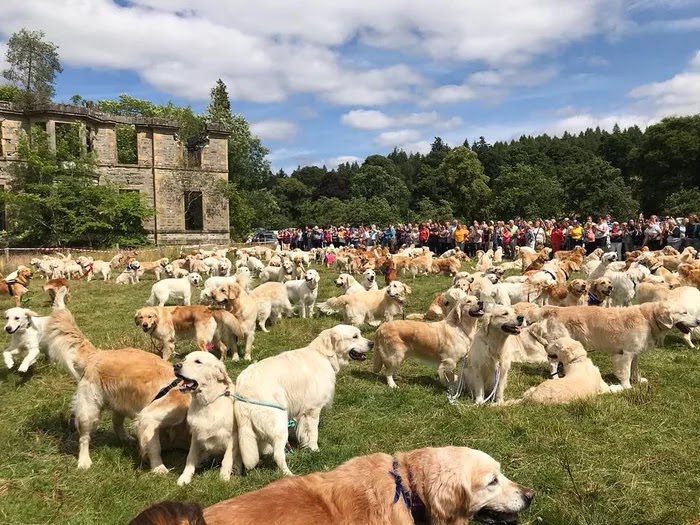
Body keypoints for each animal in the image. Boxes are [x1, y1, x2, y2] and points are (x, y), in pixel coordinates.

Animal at [175, 350, 241, 486]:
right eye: (184, 359)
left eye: (198, 362)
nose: (176, 366)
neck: (207, 403)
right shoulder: (196, 434)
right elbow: (190, 457)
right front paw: (185, 477)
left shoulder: (232, 436)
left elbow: (227, 459)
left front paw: (224, 478)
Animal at [234, 324, 372, 474]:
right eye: (355, 336)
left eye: (360, 334)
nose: (372, 343)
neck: (324, 356)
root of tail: (242, 388)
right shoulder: (313, 410)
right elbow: (313, 433)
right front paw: (315, 450)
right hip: (279, 421)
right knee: (278, 454)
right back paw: (288, 474)